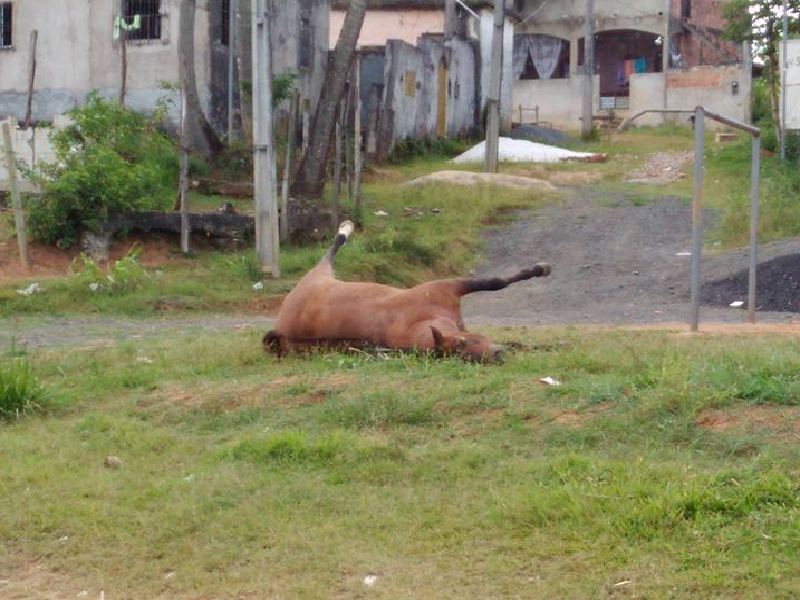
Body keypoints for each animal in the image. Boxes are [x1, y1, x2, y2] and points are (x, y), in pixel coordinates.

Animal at [262, 220, 552, 360]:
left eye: (464, 341)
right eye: (461, 351)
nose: (498, 355)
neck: (419, 317)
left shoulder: (450, 288)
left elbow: (495, 283)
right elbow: (497, 282)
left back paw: (346, 228)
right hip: (319, 274)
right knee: (330, 252)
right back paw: (345, 228)